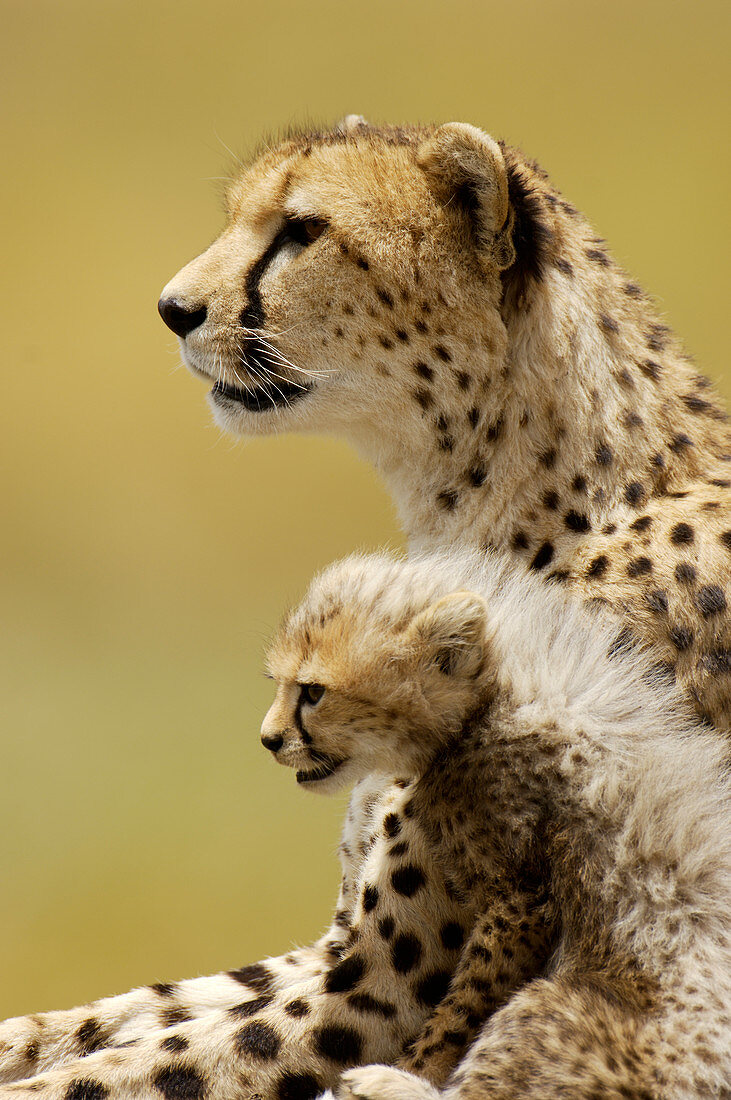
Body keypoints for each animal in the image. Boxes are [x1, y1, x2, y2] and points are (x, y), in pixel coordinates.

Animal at [2, 116, 725, 1095]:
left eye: (303, 230)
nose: (172, 309)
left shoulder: (387, 984)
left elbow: (123, 1063)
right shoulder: (340, 946)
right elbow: (110, 1019)